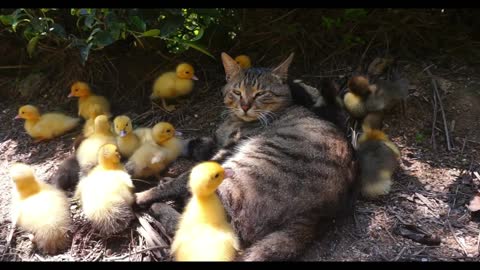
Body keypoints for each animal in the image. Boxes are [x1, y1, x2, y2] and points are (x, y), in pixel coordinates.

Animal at [134, 51, 356, 260]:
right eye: (237, 92)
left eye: (260, 94)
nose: (245, 106)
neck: (236, 121)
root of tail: (313, 216)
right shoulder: (215, 142)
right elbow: (186, 144)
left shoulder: (223, 152)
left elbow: (180, 179)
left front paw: (142, 194)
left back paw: (157, 205)